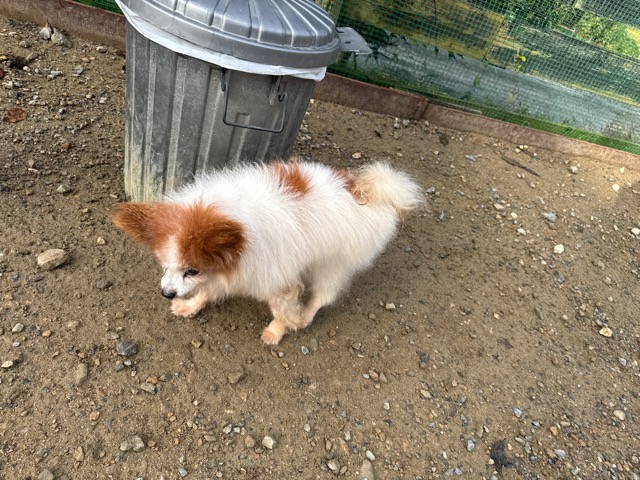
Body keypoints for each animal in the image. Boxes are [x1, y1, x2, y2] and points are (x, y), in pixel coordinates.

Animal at [113, 160, 421, 345]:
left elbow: (282, 309)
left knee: (323, 296)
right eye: (165, 265)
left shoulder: (277, 279)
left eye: (192, 270)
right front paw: (190, 306)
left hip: (332, 265)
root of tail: (370, 192)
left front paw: (278, 330)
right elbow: (207, 291)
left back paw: (306, 317)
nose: (166, 293)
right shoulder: (230, 271)